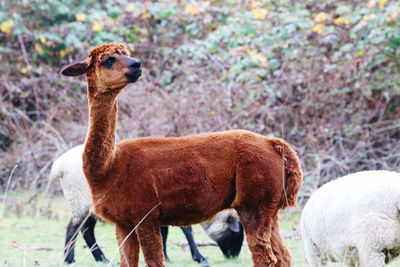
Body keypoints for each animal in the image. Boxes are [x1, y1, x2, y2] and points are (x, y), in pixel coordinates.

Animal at [50, 144, 244, 264]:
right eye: (238, 233)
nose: (234, 257)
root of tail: (59, 165)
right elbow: (187, 232)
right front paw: (199, 257)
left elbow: (163, 233)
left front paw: (165, 256)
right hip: (80, 200)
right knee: (74, 228)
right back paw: (69, 259)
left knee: (87, 230)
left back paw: (101, 258)